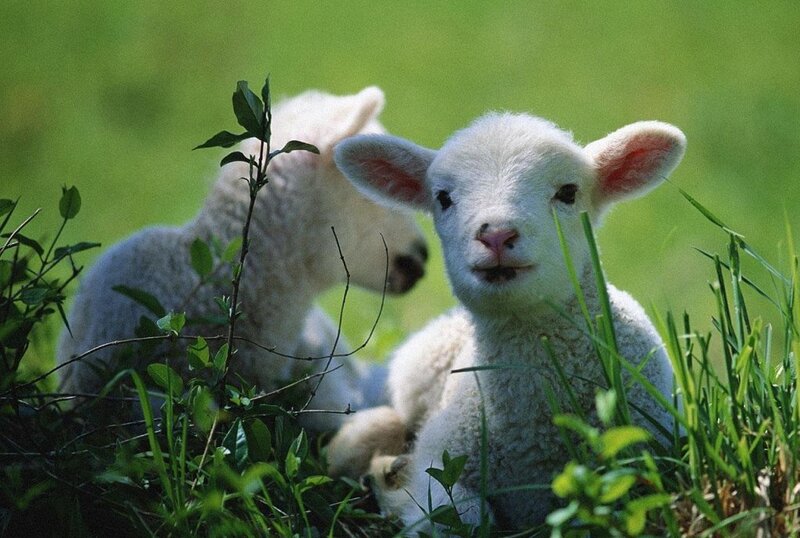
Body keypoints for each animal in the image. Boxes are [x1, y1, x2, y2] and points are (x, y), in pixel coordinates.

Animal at [328, 112, 686, 528]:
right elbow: (463, 513)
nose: (496, 235)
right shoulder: (440, 459)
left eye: (568, 192)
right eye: (443, 198)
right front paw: (396, 488)